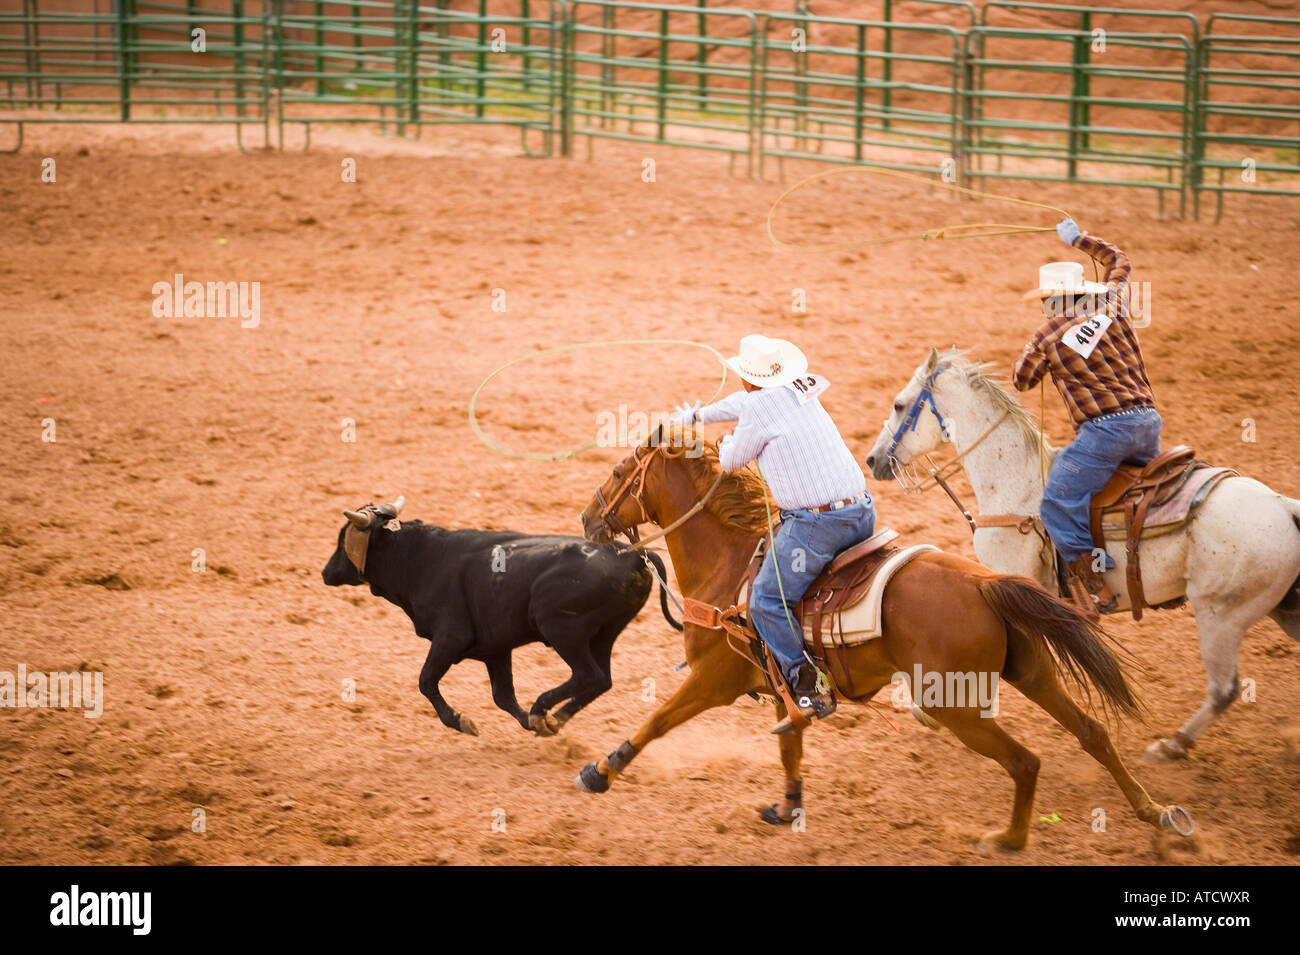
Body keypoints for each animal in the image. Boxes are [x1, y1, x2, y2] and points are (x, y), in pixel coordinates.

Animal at [579, 428, 1196, 847]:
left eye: (618, 472)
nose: (587, 519)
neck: (731, 566)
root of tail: (985, 583)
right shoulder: (784, 687)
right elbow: (789, 745)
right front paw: (788, 809)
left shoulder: (713, 680)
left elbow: (657, 721)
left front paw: (601, 771)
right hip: (1030, 671)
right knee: (1092, 732)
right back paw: (1155, 812)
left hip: (956, 705)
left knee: (1025, 763)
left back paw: (1008, 840)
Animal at [863, 348, 1300, 764]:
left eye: (900, 405)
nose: (872, 459)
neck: (1015, 480)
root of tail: (1283, 507)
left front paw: (928, 708)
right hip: (1281, 609)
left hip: (1220, 615)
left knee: (1224, 689)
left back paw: (1171, 746)